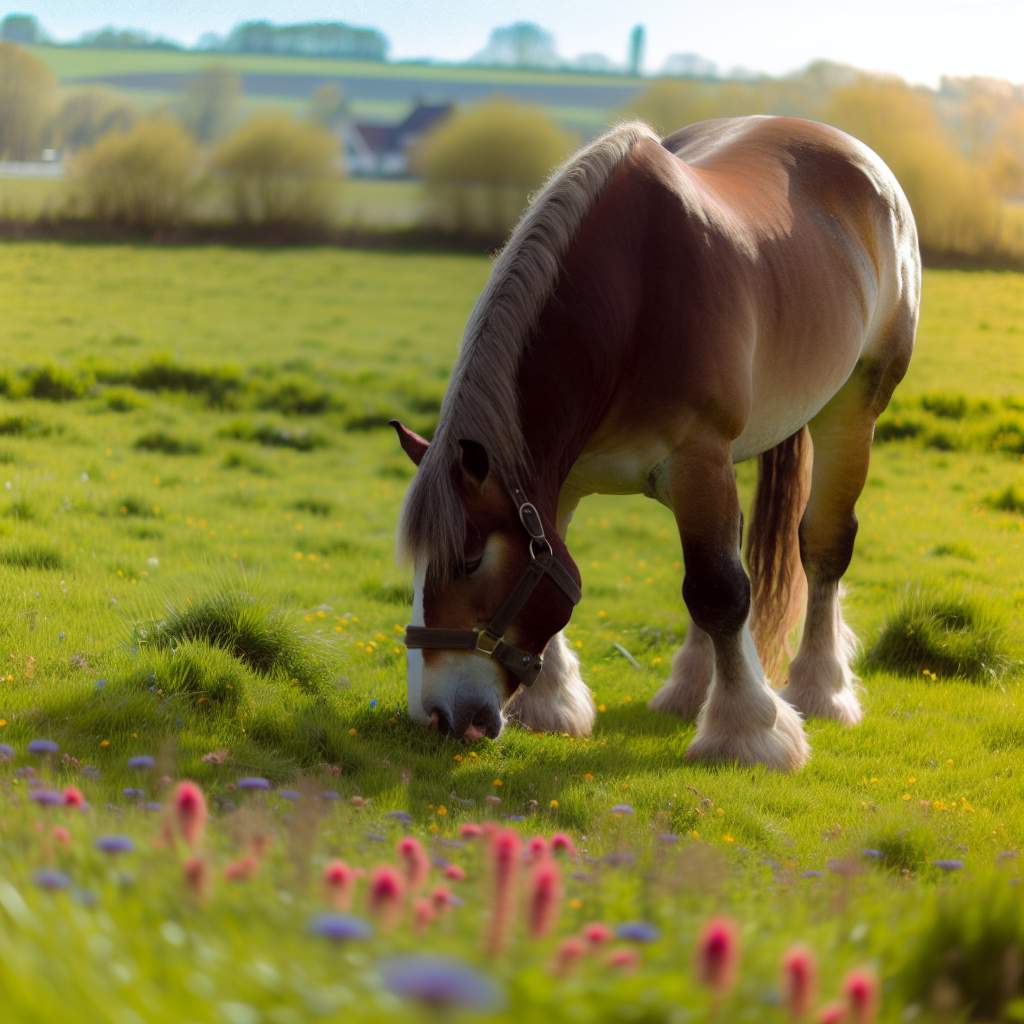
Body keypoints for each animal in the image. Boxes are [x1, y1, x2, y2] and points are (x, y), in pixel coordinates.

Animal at [389, 114, 921, 770]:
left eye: (467, 560)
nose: (436, 715)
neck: (629, 303)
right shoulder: (563, 480)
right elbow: (589, 571)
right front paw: (553, 705)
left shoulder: (696, 459)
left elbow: (720, 592)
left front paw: (749, 731)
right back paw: (691, 688)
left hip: (850, 410)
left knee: (821, 547)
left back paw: (821, 690)